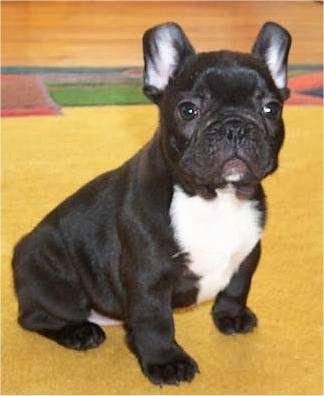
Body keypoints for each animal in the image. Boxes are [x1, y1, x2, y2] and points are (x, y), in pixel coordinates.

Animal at [12, 20, 292, 384]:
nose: (235, 126)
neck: (214, 198)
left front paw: (230, 316)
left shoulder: (248, 253)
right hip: (55, 280)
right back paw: (79, 332)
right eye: (188, 110)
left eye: (271, 108)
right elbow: (156, 321)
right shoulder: (148, 275)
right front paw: (166, 362)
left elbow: (238, 285)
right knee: (35, 316)